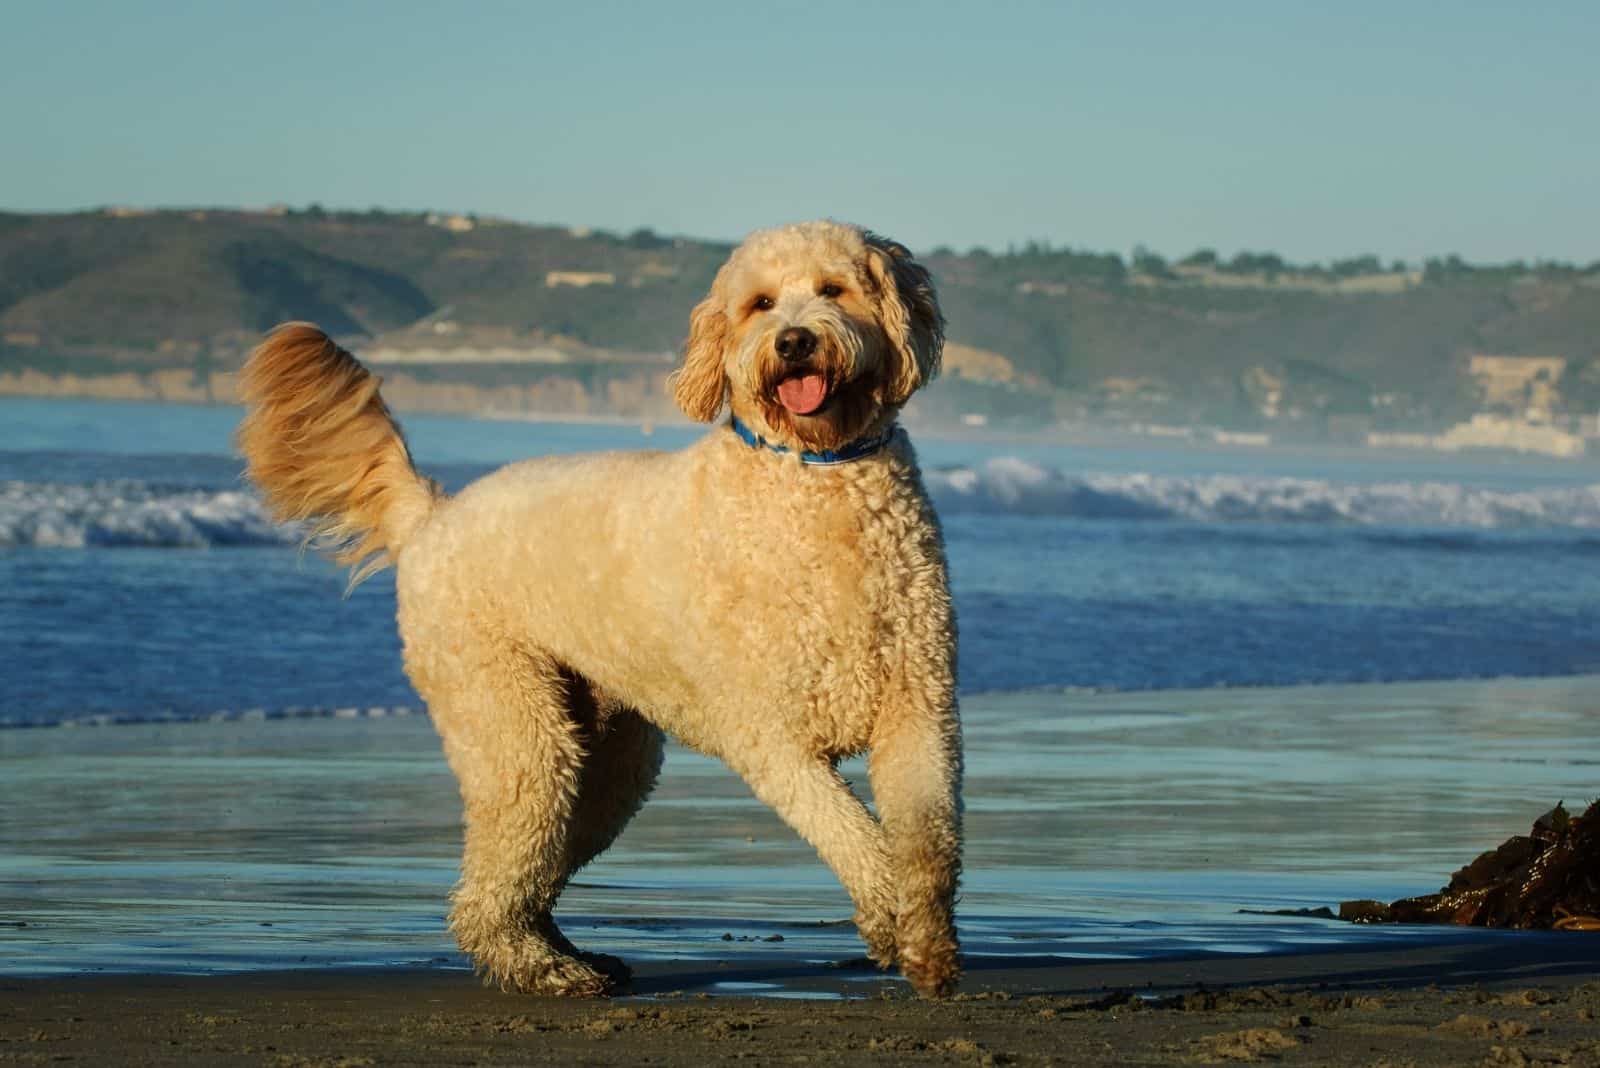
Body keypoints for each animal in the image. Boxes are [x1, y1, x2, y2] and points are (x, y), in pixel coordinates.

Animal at [233, 219, 960, 1004]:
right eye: (760, 304)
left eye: (834, 289)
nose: (794, 341)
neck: (816, 477)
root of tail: (431, 515)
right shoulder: (772, 736)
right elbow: (851, 832)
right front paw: (888, 913)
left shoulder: (919, 709)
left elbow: (928, 837)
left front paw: (926, 941)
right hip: (514, 722)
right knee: (491, 882)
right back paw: (540, 967)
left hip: (610, 760)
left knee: (537, 865)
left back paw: (565, 951)